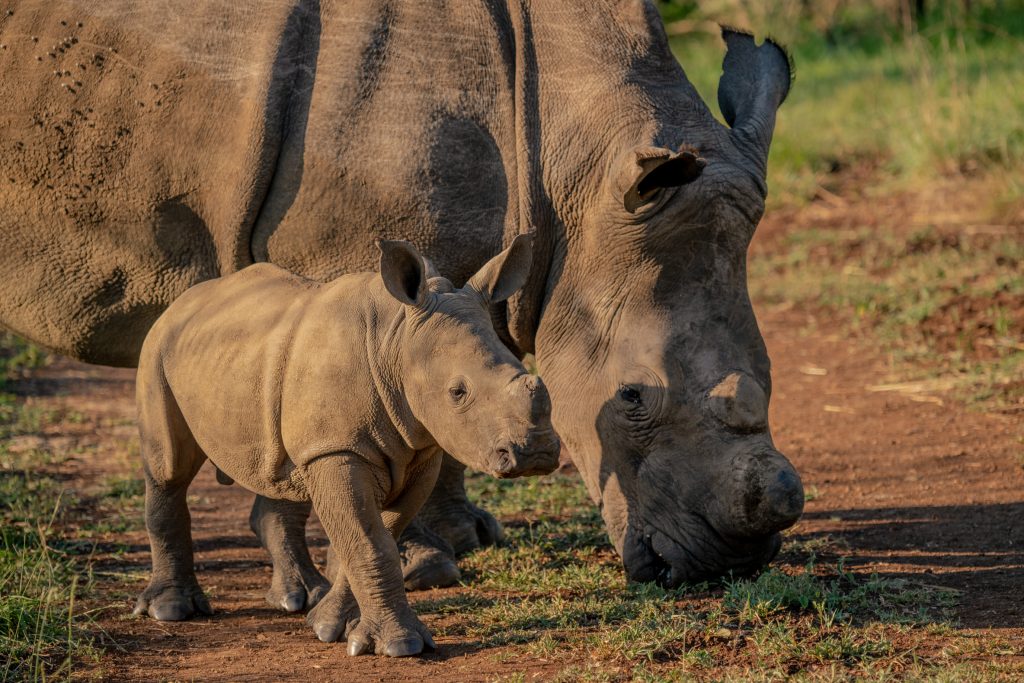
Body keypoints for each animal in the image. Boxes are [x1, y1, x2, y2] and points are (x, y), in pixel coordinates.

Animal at [0, 0, 798, 598]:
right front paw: (424, 565)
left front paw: (463, 539)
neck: (568, 157)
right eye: (631, 397)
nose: (731, 561)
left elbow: (441, 395)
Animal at [134, 236, 561, 655]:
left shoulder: (420, 451)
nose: (536, 452)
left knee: (279, 474)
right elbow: (371, 544)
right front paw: (401, 646)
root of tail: (182, 302)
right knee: (169, 471)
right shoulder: (337, 449)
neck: (396, 341)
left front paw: (330, 626)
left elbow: (368, 538)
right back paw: (171, 610)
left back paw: (297, 600)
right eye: (458, 392)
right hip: (157, 348)